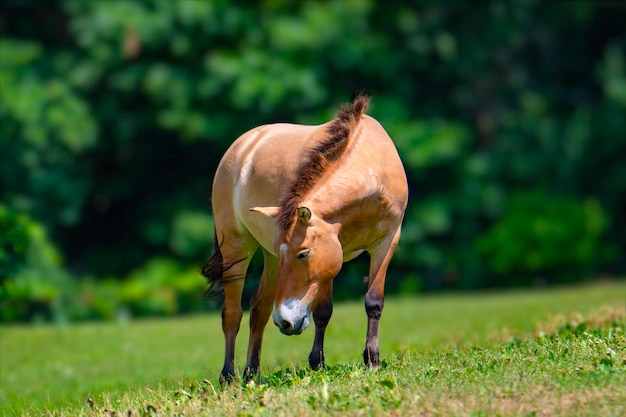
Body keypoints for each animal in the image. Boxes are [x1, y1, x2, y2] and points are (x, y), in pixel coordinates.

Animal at [204, 96, 410, 382]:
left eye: (303, 253)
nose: (285, 321)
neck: (371, 170)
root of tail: (243, 144)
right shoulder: (333, 251)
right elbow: (323, 310)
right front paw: (318, 362)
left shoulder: (385, 242)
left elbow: (373, 301)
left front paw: (371, 360)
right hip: (236, 248)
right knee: (232, 314)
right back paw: (228, 377)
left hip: (269, 258)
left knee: (259, 309)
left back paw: (251, 373)